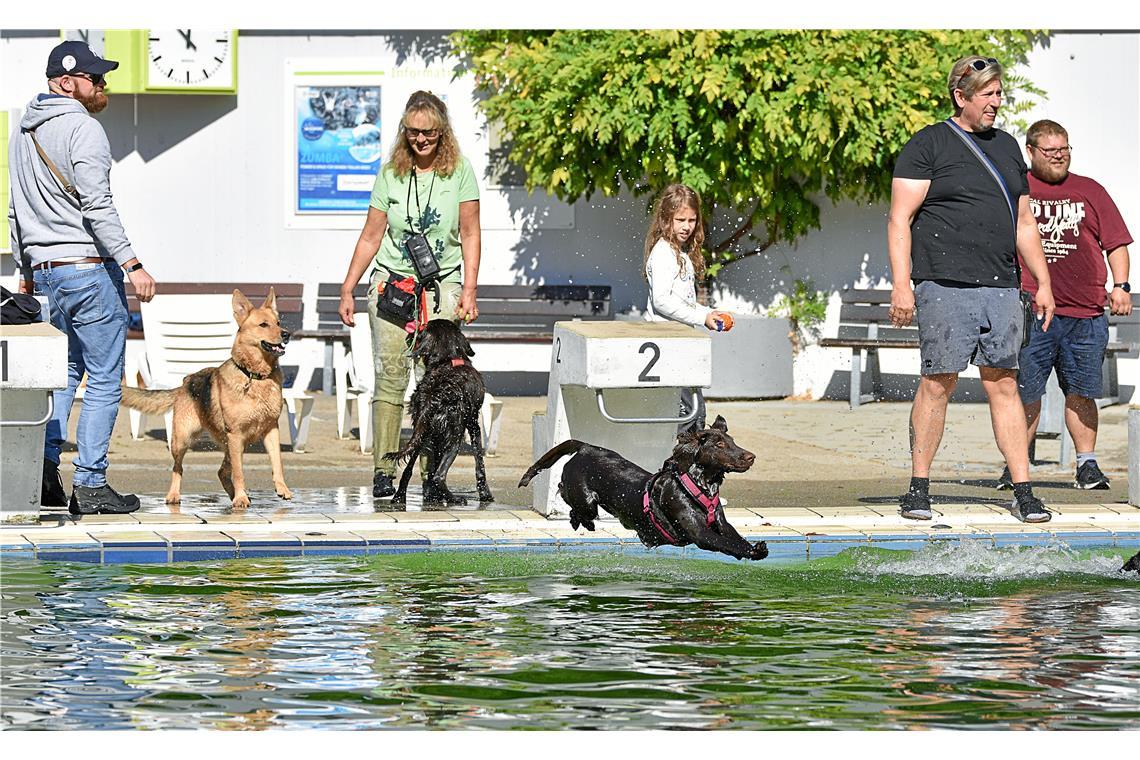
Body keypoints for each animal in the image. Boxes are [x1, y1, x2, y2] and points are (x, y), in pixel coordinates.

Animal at [121, 288, 294, 508]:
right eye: (263, 324)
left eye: (278, 322)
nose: (287, 334)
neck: (254, 376)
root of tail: (184, 384)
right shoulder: (236, 435)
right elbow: (239, 472)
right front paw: (241, 497)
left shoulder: (270, 430)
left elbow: (277, 462)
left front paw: (282, 489)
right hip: (183, 440)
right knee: (178, 467)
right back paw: (175, 495)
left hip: (234, 445)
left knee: (221, 472)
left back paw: (235, 496)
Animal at [385, 319, 492, 508]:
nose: (410, 334)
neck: (447, 360)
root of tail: (433, 395)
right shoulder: (473, 424)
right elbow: (479, 463)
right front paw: (485, 494)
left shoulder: (435, 435)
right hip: (455, 437)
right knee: (439, 475)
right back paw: (454, 498)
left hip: (421, 432)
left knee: (408, 470)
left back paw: (400, 497)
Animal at [522, 417, 770, 558]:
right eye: (719, 444)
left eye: (732, 441)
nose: (751, 456)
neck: (699, 486)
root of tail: (586, 447)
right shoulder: (699, 533)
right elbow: (726, 543)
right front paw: (753, 551)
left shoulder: (721, 523)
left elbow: (734, 537)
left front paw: (754, 548)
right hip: (585, 500)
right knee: (568, 497)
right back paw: (578, 520)